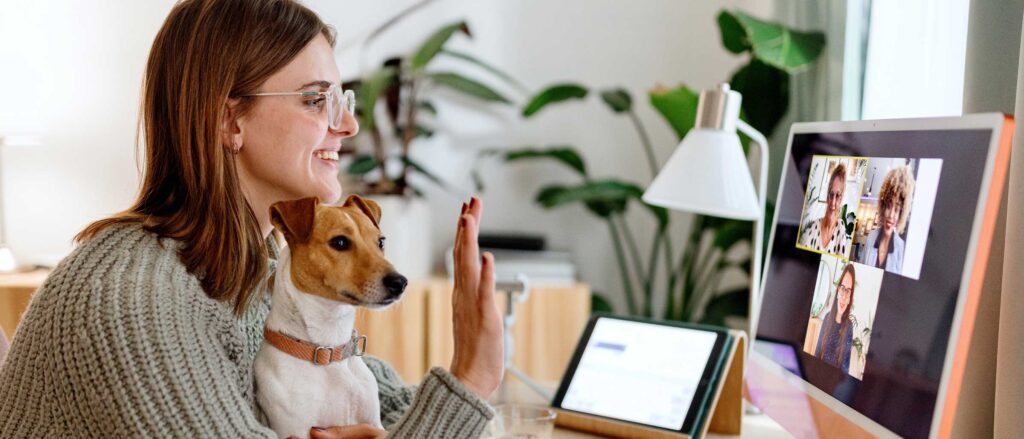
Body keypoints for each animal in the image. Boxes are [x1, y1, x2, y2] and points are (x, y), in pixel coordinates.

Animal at [254, 195, 407, 437]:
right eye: (340, 242)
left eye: (381, 242)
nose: (400, 282)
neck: (328, 349)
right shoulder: (295, 430)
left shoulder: (374, 423)